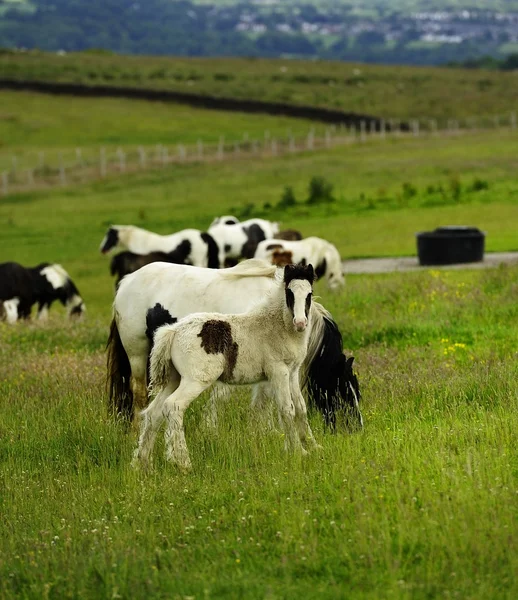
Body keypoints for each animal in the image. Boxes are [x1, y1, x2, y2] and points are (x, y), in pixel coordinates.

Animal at [107, 258, 364, 426]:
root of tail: (127, 281)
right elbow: (228, 399)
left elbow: (262, 400)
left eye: (356, 392)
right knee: (139, 393)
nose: (355, 428)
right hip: (137, 353)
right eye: (344, 390)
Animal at [133, 264, 320, 472]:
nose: (300, 323)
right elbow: (287, 409)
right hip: (195, 381)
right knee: (173, 406)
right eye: (289, 293)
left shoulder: (292, 373)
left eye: (309, 294)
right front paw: (297, 451)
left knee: (153, 413)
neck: (274, 327)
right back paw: (184, 463)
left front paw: (312, 446)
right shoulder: (278, 371)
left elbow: (301, 408)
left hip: (174, 379)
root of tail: (173, 331)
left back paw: (143, 463)